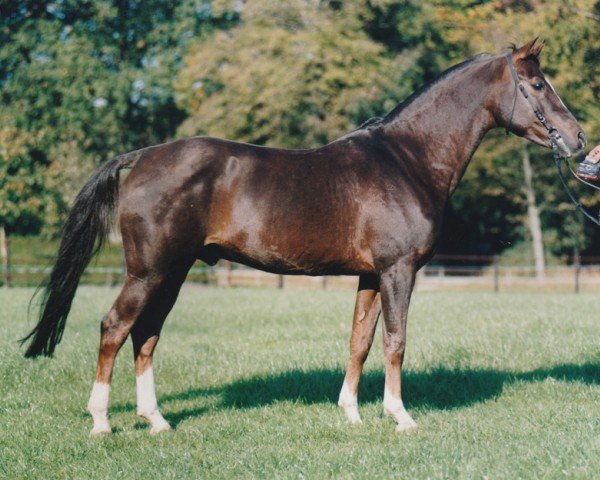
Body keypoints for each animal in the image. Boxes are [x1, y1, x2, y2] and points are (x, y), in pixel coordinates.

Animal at [23, 38, 584, 436]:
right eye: (537, 86)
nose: (578, 139)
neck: (408, 158)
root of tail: (142, 155)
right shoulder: (398, 271)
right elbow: (396, 342)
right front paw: (400, 416)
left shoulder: (370, 276)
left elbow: (360, 342)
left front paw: (352, 413)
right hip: (149, 271)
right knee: (115, 328)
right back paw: (101, 422)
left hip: (173, 272)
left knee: (146, 334)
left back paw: (156, 421)